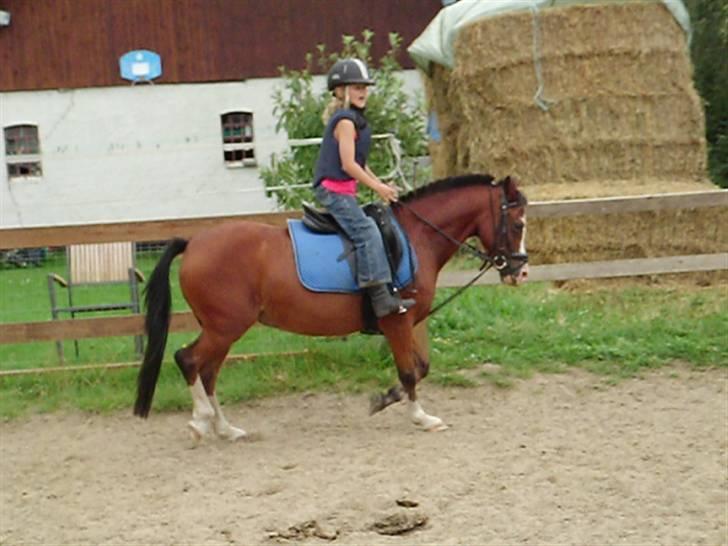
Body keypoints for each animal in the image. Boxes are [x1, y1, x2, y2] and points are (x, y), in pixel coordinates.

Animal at [133, 173, 529, 440]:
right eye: (518, 223)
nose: (521, 271)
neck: (414, 238)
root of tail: (194, 243)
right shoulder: (396, 321)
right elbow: (409, 372)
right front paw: (421, 417)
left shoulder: (411, 320)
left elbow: (421, 368)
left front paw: (386, 398)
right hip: (225, 327)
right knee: (188, 360)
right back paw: (200, 421)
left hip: (222, 329)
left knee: (208, 372)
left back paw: (227, 429)